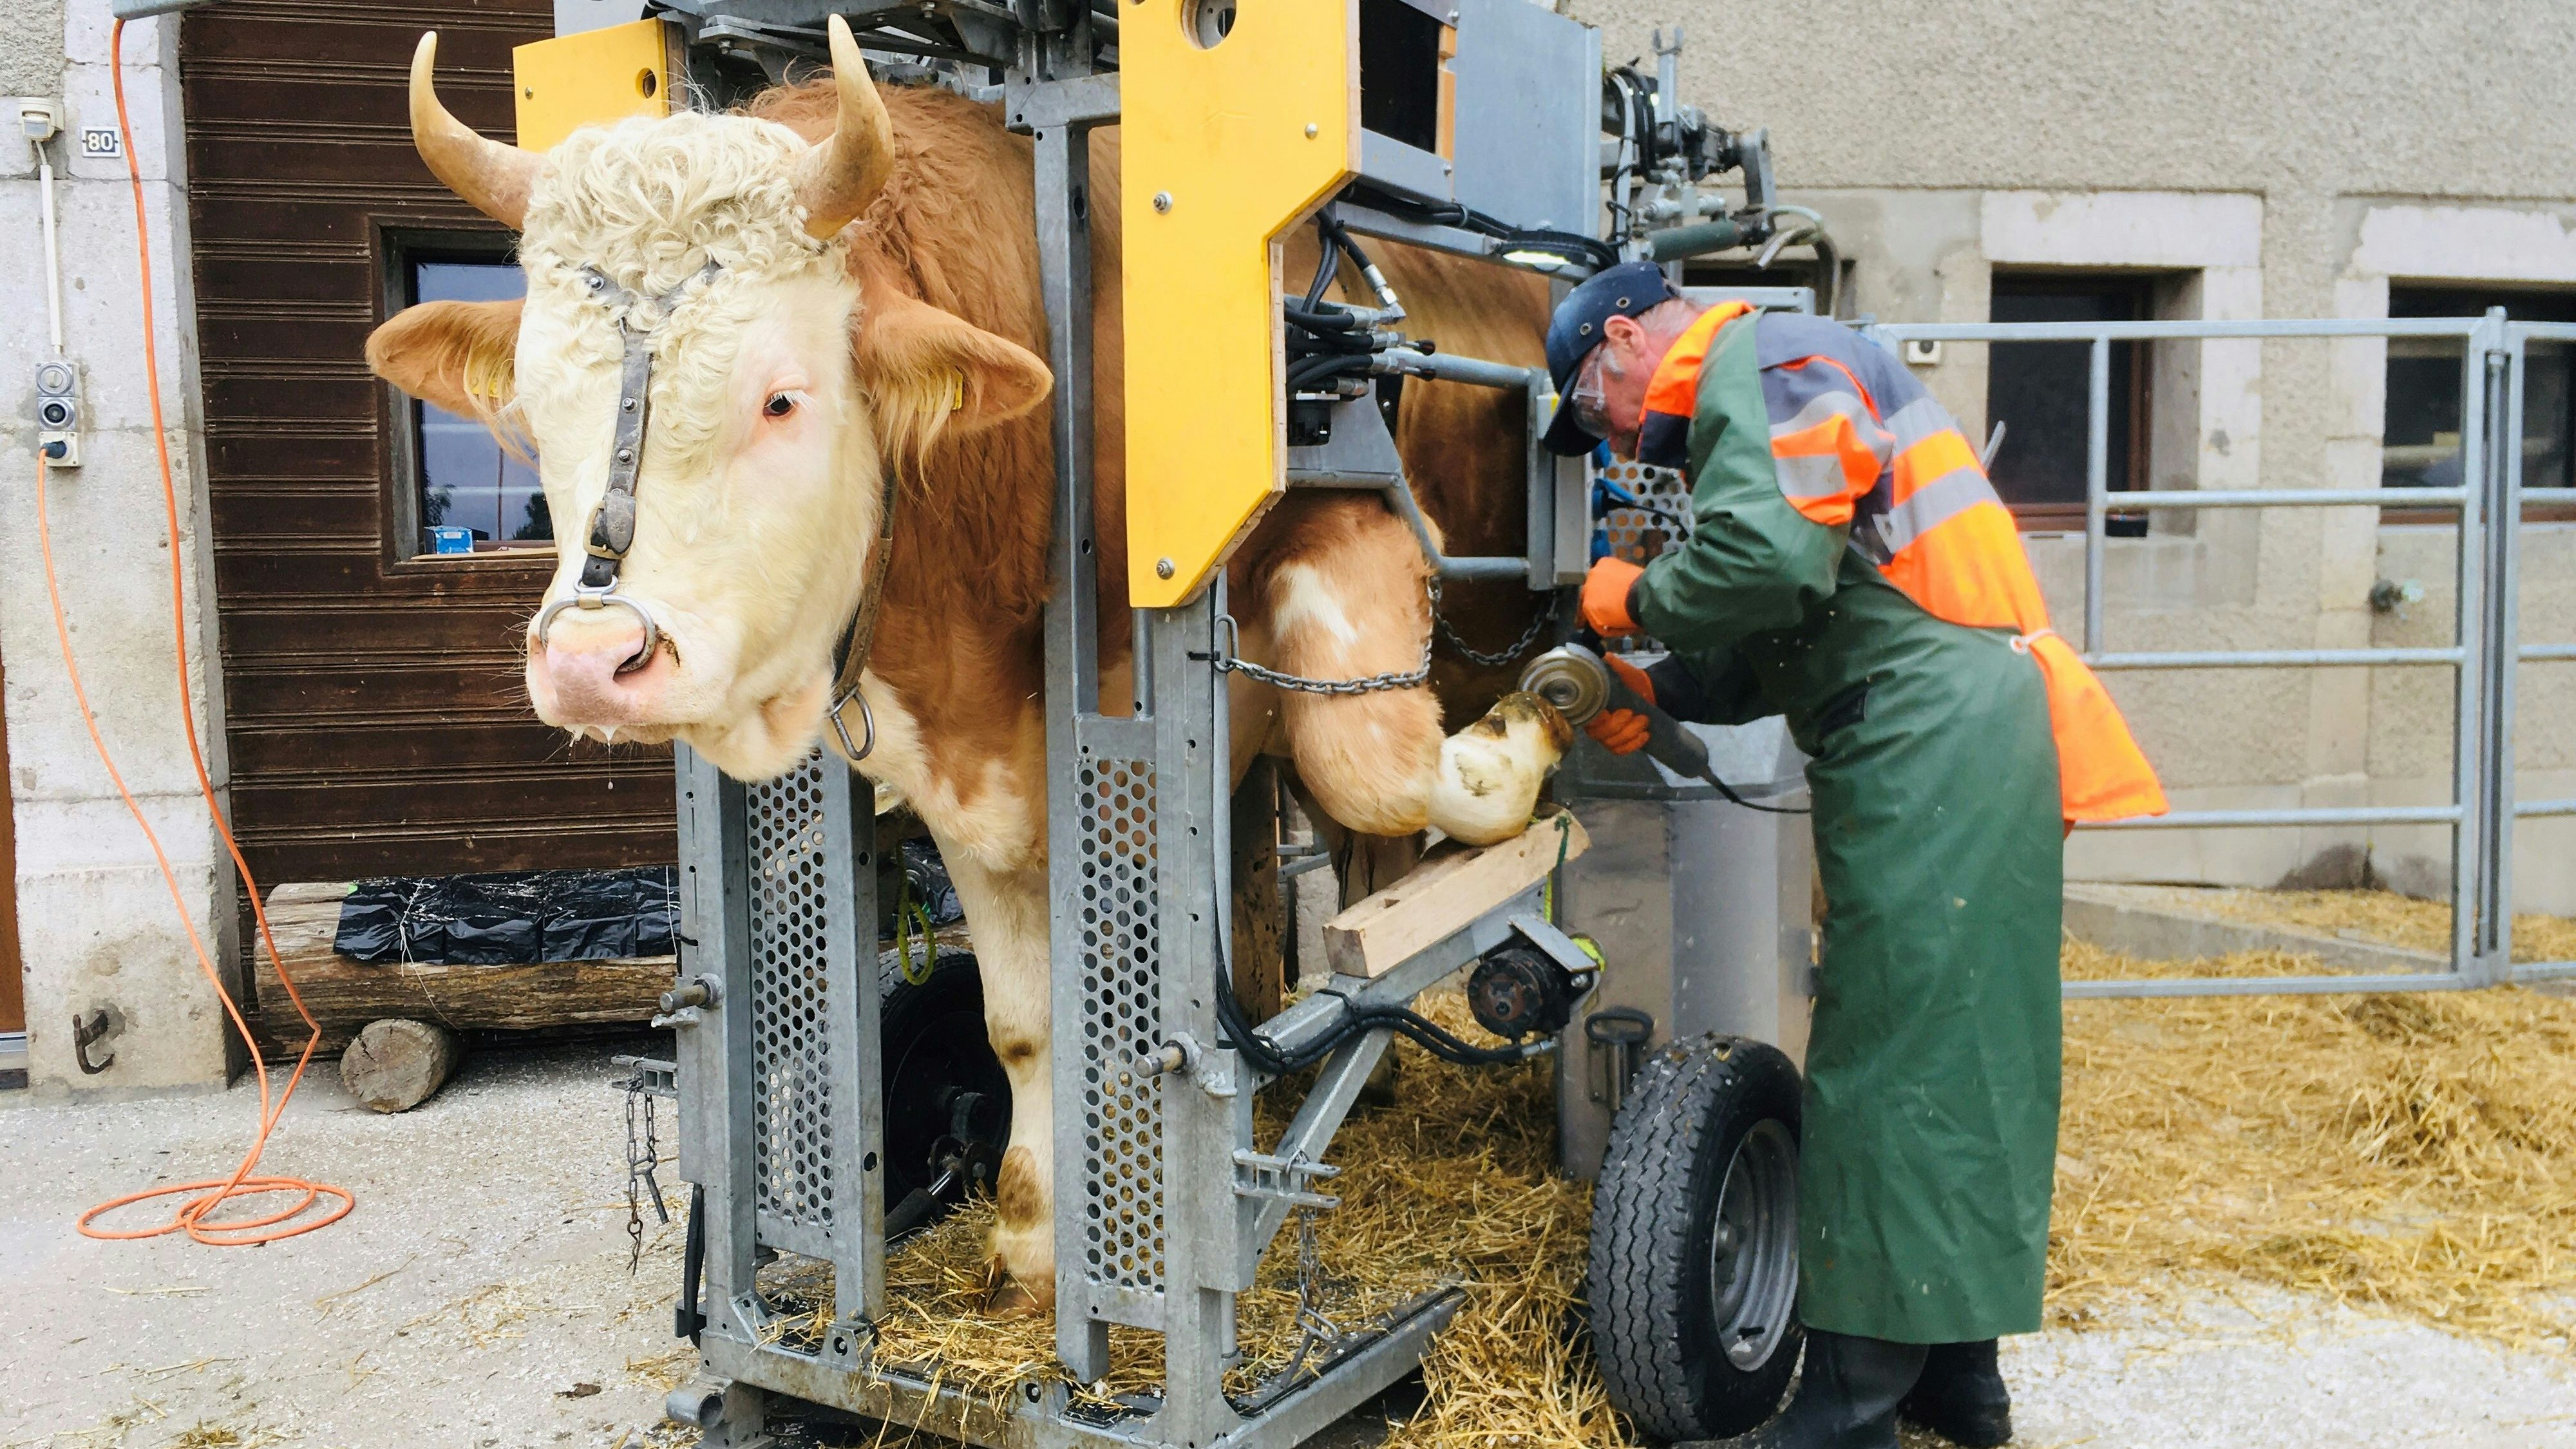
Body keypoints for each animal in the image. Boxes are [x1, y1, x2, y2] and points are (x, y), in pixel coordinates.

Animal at [368, 19, 1568, 1314]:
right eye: (536, 408)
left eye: (781, 398)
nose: (594, 662)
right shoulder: (973, 780)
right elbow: (1026, 1021)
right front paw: (1040, 1240)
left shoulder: (1349, 522)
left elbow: (1377, 765)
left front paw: (1532, 736)